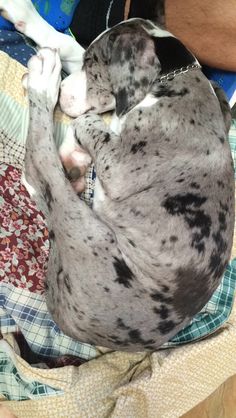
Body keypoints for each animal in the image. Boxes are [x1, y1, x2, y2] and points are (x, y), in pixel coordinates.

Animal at [0, 1, 234, 352]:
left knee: (41, 168)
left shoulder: (120, 164)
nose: (65, 90)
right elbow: (68, 44)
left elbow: (88, 122)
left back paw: (44, 82)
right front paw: (26, 16)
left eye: (93, 64)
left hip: (88, 231)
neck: (170, 82)